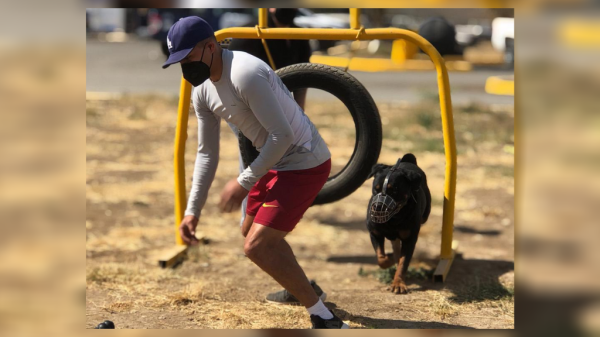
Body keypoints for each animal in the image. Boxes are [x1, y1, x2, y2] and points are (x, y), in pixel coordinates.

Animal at [366, 154, 432, 292]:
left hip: (425, 213)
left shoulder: (409, 239)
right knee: (394, 244)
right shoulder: (374, 233)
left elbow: (403, 263)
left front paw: (398, 284)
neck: (393, 219)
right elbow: (381, 257)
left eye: (394, 190)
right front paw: (390, 258)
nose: (378, 206)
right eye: (375, 189)